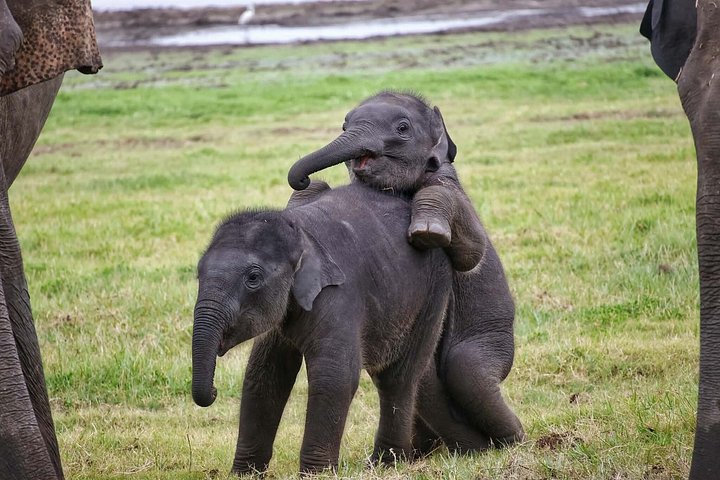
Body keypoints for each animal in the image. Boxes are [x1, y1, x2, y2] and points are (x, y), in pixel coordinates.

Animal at [192, 182, 455, 474]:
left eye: (253, 278)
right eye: (198, 273)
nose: (214, 391)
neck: (298, 232)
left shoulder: (339, 295)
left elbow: (334, 376)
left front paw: (315, 474)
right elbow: (265, 375)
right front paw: (244, 473)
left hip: (433, 293)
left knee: (397, 377)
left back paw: (384, 464)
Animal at [287, 91, 525, 452]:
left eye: (402, 128)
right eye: (344, 125)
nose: (303, 177)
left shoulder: (451, 189)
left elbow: (472, 252)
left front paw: (427, 232)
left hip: (493, 338)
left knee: (467, 370)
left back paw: (510, 441)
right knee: (426, 381)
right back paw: (428, 450)